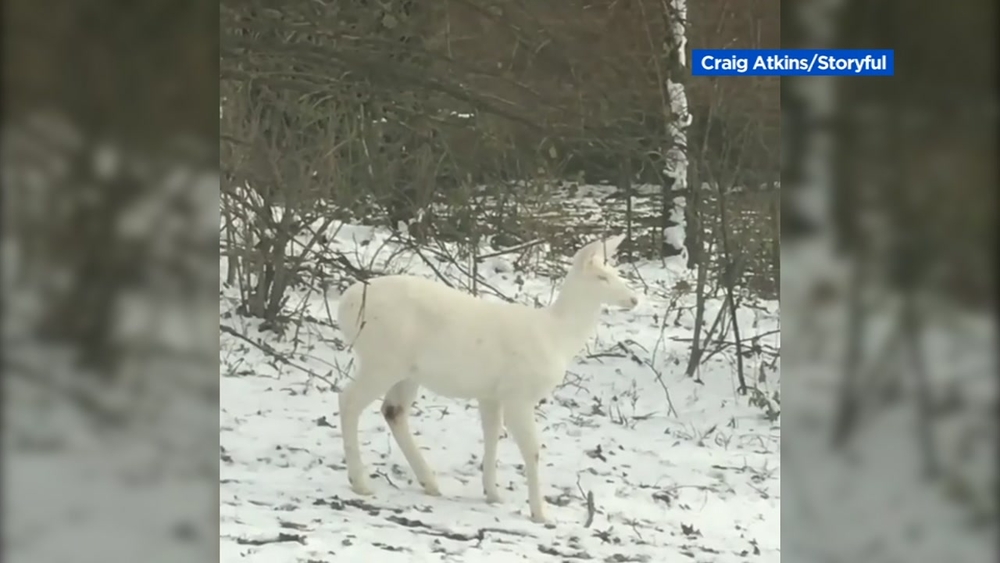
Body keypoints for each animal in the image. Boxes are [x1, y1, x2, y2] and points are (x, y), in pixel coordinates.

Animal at [336, 234, 638, 523]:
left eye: (616, 272)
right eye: (601, 277)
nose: (634, 299)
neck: (557, 335)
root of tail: (344, 306)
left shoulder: (492, 393)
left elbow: (492, 435)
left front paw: (492, 493)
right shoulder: (519, 392)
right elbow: (532, 449)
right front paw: (539, 513)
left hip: (406, 370)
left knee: (393, 410)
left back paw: (429, 482)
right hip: (383, 358)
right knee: (348, 399)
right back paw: (360, 482)